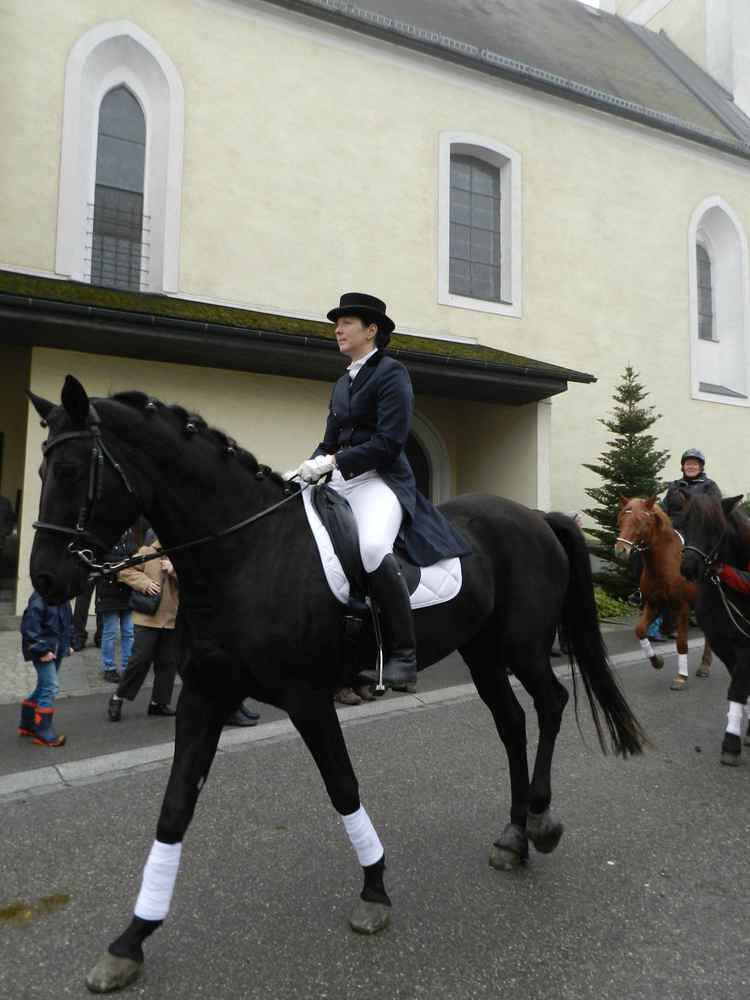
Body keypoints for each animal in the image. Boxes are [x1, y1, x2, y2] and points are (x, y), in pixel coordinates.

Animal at [28, 376, 646, 993]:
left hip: (521, 647)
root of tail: (536, 515)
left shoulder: (307, 698)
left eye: (71, 470)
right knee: (512, 723)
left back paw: (539, 821)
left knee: (551, 703)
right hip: (483, 653)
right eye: (41, 470)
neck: (248, 553)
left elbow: (343, 787)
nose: (46, 579)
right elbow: (175, 809)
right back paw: (513, 837)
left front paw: (374, 890)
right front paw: (130, 939)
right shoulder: (205, 698)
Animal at [614, 497, 712, 686]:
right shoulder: (654, 604)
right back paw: (704, 666)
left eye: (641, 521)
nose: (620, 550)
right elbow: (640, 631)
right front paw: (657, 661)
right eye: (621, 519)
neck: (666, 562)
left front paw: (681, 676)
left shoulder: (682, 607)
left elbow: (681, 642)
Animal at [680, 493, 750, 766]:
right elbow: (739, 687)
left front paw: (731, 743)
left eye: (715, 528)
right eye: (684, 522)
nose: (688, 568)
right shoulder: (723, 644)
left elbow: (739, 687)